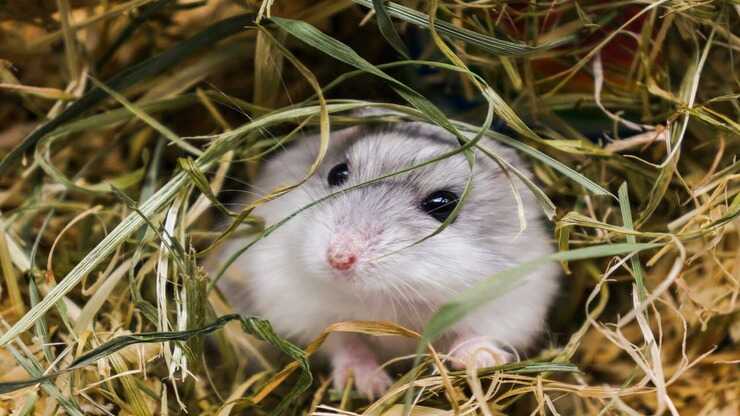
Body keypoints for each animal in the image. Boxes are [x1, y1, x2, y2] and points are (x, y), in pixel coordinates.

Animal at [211, 115, 556, 398]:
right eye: (337, 173)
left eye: (442, 203)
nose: (338, 258)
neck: (387, 296)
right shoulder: (299, 308)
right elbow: (341, 340)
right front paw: (371, 386)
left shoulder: (512, 304)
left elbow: (476, 332)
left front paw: (483, 360)